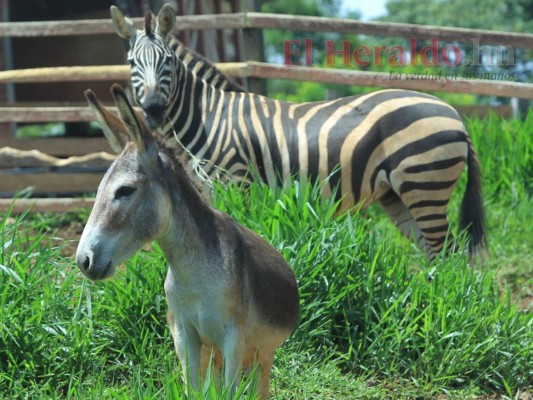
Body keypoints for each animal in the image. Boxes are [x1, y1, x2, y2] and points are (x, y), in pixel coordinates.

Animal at [109, 4, 486, 260]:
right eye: (131, 63)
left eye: (168, 61)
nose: (153, 109)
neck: (209, 118)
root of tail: (453, 114)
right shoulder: (216, 189)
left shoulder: (237, 182)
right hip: (398, 193)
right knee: (438, 254)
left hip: (424, 182)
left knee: (448, 254)